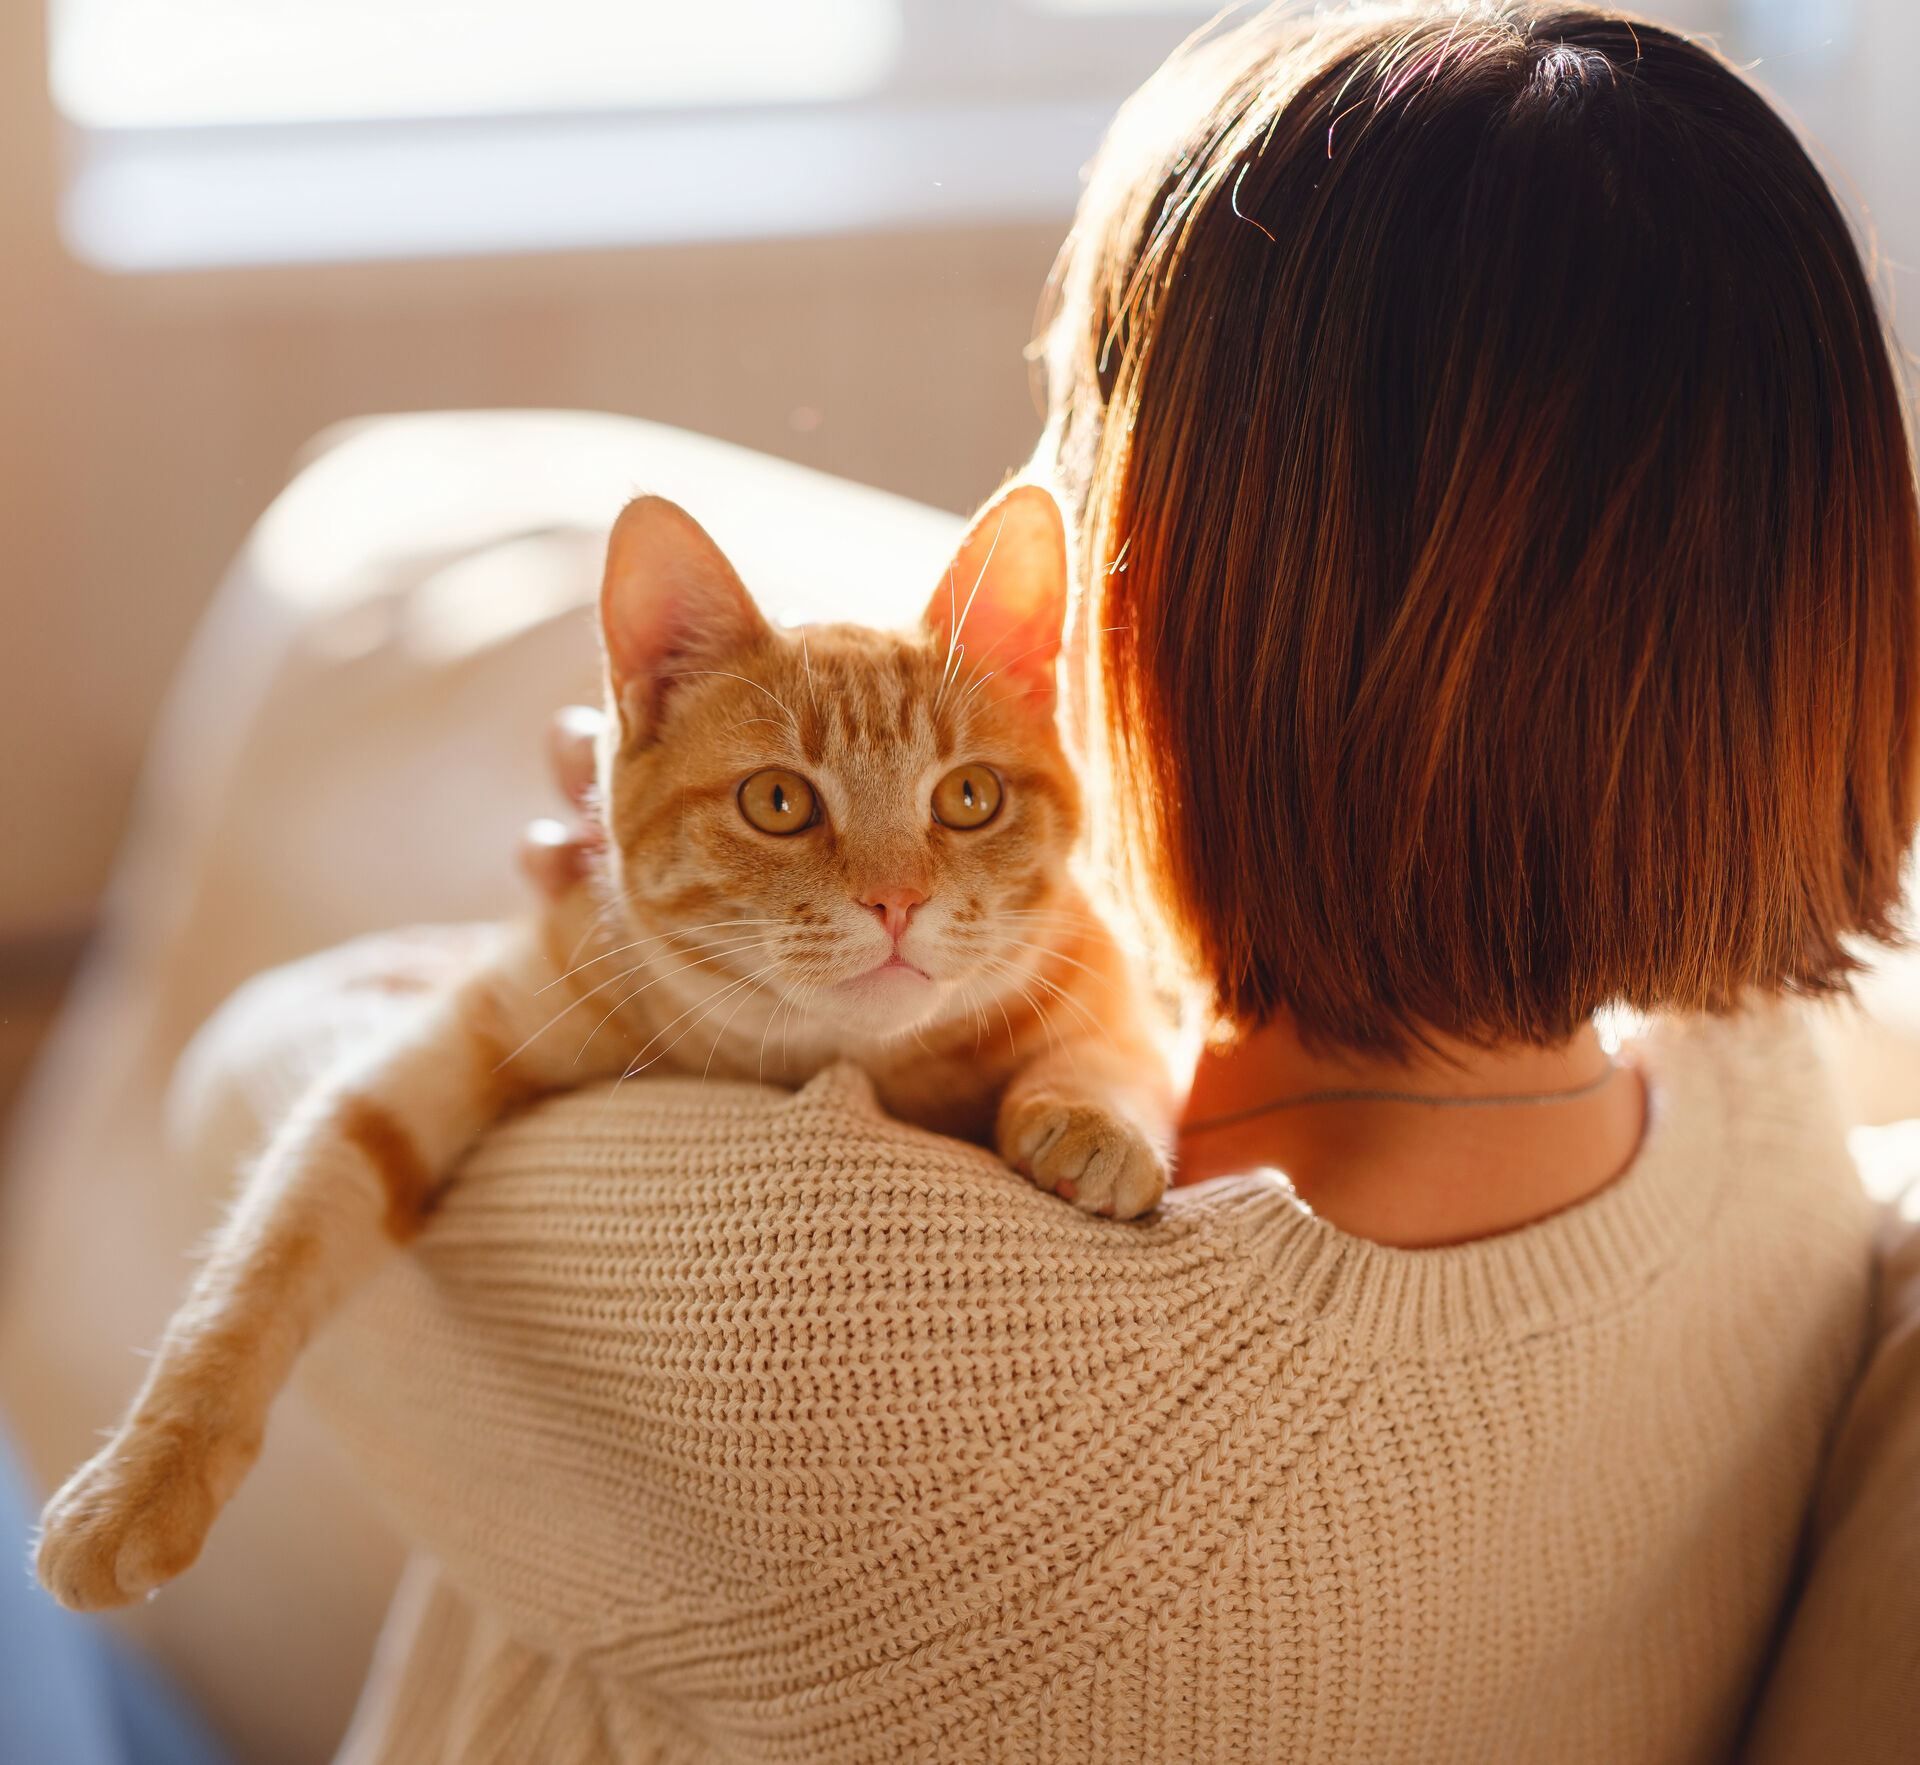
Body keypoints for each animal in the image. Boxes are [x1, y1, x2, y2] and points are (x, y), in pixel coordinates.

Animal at [41, 483, 1167, 1613]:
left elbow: (1113, 1052)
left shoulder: (1104, 975)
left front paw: (1093, 1123)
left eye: (969, 797)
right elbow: (261, 1265)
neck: (829, 1053)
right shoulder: (433, 1059)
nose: (898, 900)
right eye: (779, 801)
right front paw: (138, 1484)